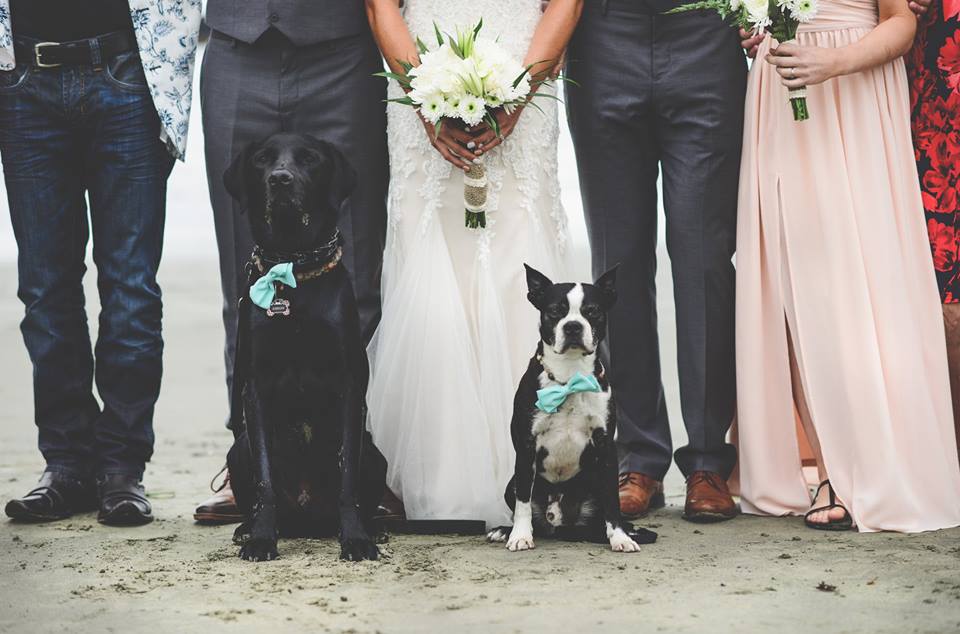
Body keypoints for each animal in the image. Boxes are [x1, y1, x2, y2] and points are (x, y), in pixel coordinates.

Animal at [223, 132, 388, 556]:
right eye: (262, 159)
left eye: (310, 159)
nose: (280, 180)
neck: (293, 267)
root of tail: (307, 512)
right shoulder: (255, 388)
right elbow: (265, 480)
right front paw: (262, 537)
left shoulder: (349, 385)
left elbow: (347, 478)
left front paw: (356, 539)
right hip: (238, 450)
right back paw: (247, 526)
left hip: (375, 456)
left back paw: (372, 526)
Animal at [492, 264, 656, 552]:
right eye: (554, 311)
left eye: (593, 311)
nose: (572, 326)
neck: (569, 376)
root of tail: (559, 523)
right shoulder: (526, 446)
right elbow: (523, 502)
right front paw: (519, 536)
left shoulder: (606, 447)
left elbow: (613, 502)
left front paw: (621, 538)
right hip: (511, 483)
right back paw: (504, 530)